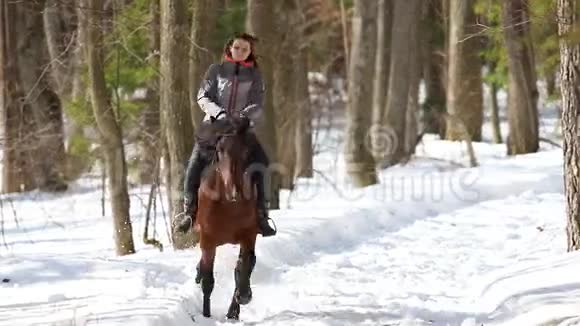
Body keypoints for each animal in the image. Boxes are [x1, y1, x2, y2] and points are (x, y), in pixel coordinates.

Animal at [194, 116, 260, 320]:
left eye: (247, 150)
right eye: (220, 150)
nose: (235, 191)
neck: (229, 204)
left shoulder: (249, 235)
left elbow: (243, 266)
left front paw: (242, 297)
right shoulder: (208, 240)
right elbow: (208, 281)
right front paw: (206, 316)